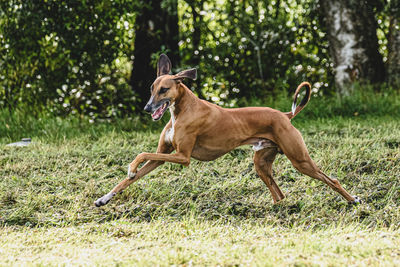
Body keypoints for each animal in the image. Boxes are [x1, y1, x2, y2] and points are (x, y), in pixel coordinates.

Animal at [94, 55, 360, 207]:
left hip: (300, 160)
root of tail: (285, 115)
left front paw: (130, 167)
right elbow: (127, 180)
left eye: (164, 90)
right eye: (152, 88)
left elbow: (140, 155)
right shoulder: (164, 156)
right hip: (261, 163)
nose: (147, 108)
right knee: (279, 195)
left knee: (332, 179)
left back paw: (353, 200)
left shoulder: (182, 157)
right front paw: (104, 198)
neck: (182, 110)